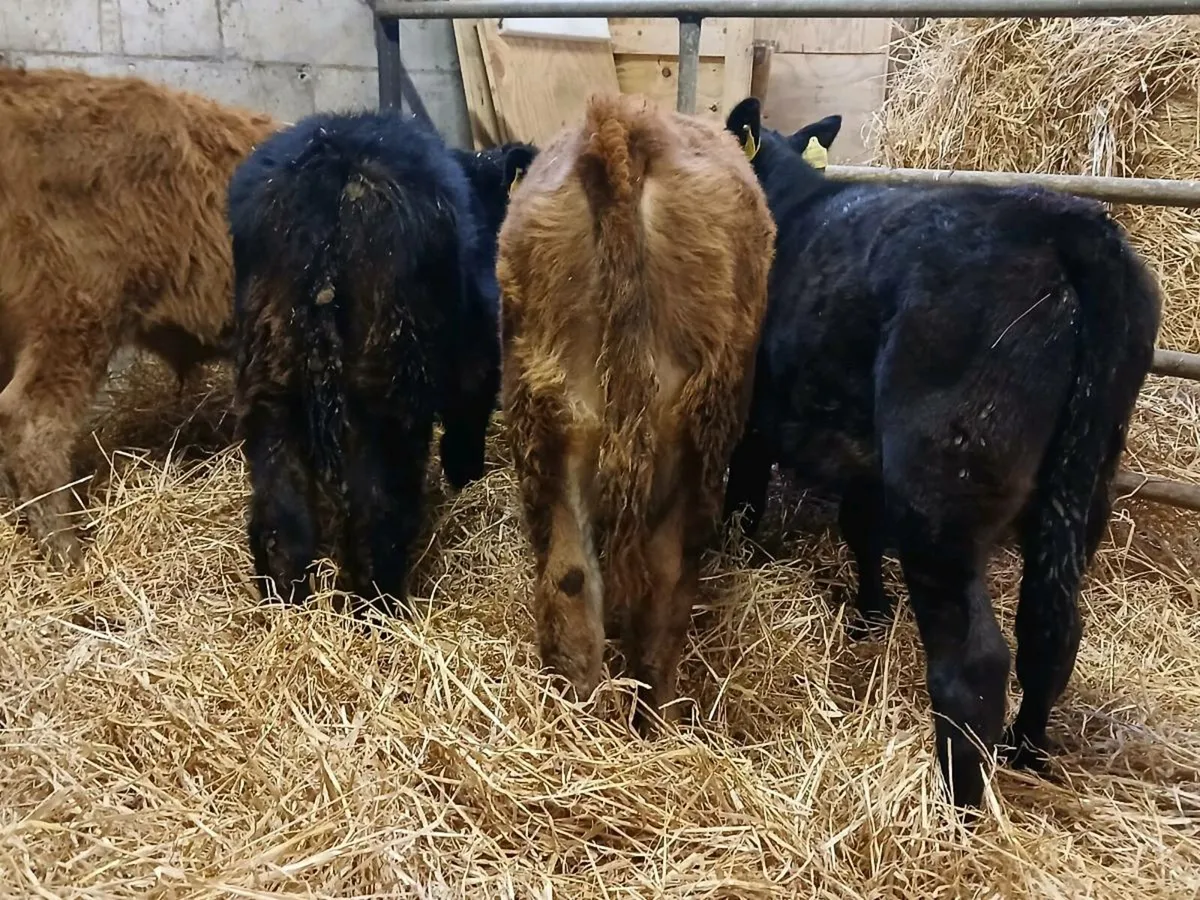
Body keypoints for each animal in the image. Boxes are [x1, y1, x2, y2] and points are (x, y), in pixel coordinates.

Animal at [228, 108, 535, 616]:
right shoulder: (476, 353)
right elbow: (467, 418)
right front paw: (466, 478)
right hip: (387, 384)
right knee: (378, 513)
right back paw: (382, 608)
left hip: (269, 378)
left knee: (280, 520)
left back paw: (285, 604)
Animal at [496, 93, 777, 730]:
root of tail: (619, 124)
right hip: (696, 433)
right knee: (667, 583)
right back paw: (657, 723)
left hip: (548, 418)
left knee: (570, 582)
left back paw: (577, 730)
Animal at [721, 97, 1162, 809]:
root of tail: (1071, 224)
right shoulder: (866, 458)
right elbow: (860, 528)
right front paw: (871, 612)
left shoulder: (757, 422)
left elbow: (744, 504)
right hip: (1085, 479)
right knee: (1052, 630)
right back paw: (1025, 751)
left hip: (940, 492)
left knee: (975, 662)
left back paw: (961, 805)